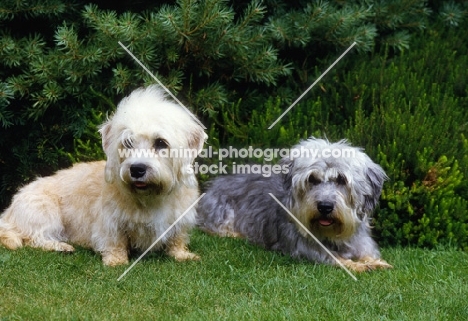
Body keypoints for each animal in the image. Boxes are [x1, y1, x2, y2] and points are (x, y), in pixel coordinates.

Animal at [197, 137, 392, 270]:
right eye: (312, 179)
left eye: (341, 179)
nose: (325, 207)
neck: (331, 236)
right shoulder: (304, 248)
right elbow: (334, 257)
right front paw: (357, 265)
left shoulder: (362, 243)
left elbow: (368, 254)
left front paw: (375, 262)